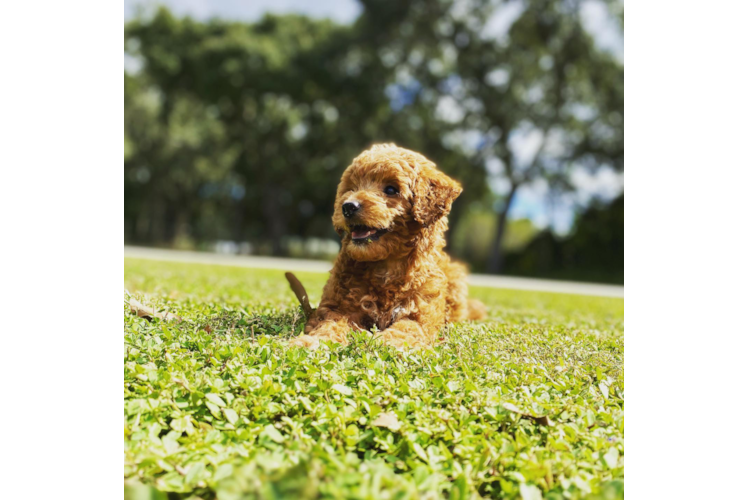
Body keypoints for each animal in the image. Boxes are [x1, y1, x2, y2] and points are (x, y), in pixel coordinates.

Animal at [292, 143, 486, 350]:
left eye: (391, 189)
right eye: (351, 188)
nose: (348, 207)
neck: (386, 265)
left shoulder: (422, 313)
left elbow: (407, 328)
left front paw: (388, 343)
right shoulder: (337, 306)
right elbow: (330, 323)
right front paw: (311, 341)